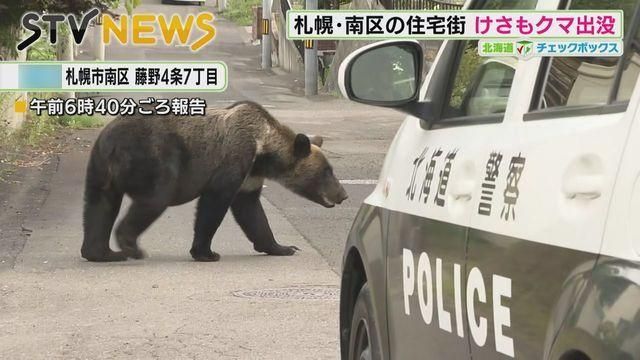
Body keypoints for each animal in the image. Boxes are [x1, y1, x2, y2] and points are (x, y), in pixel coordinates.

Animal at [84, 100, 350, 262]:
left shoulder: (250, 177)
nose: (343, 194)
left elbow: (252, 212)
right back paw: (130, 245)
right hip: (154, 155)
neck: (263, 151)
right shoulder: (234, 159)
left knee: (99, 205)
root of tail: (112, 143)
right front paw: (206, 252)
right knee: (155, 198)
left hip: (99, 166)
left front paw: (283, 247)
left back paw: (101, 252)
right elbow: (214, 204)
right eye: (326, 171)